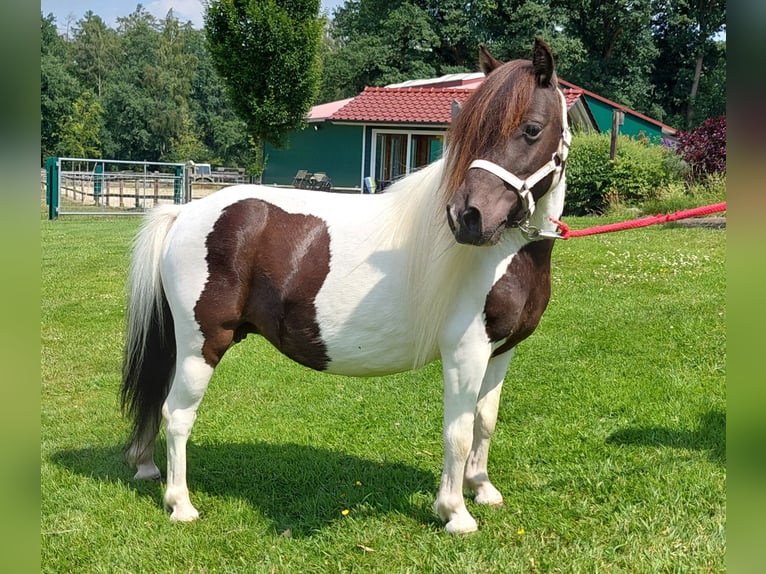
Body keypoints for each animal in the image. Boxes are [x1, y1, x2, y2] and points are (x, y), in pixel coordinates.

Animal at [121, 40, 568, 536]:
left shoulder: (501, 350)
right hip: (203, 343)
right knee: (178, 415)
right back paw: (180, 503)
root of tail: (184, 212)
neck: (507, 255)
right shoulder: (465, 352)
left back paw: (147, 466)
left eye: (531, 129)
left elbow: (485, 421)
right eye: (470, 133)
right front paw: (455, 512)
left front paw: (483, 489)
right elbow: (458, 429)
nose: (467, 218)